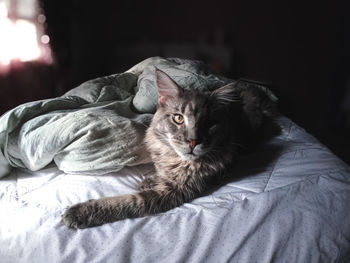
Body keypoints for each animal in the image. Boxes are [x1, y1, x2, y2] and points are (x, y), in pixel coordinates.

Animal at [63, 70, 276, 229]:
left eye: (209, 124)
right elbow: (159, 173)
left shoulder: (174, 192)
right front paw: (150, 179)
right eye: (178, 118)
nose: (193, 142)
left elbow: (129, 202)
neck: (175, 158)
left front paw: (80, 212)